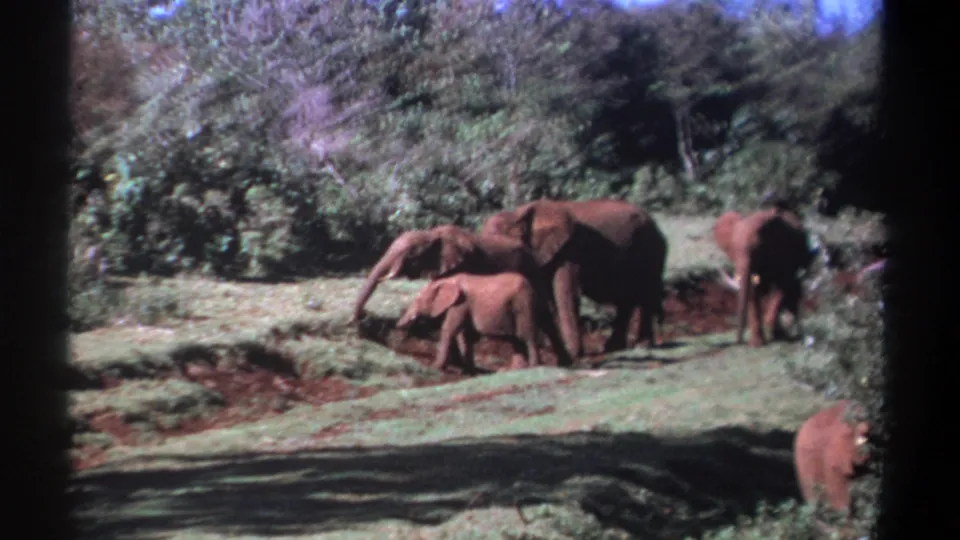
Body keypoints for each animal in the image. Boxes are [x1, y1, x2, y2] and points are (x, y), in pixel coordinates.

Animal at [395, 272, 573, 372]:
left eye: (418, 300)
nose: (398, 326)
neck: (447, 280)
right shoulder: (463, 305)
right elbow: (464, 335)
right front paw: (468, 371)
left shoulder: (460, 303)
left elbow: (450, 329)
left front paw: (436, 368)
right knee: (532, 332)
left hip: (523, 303)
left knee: (526, 335)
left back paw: (533, 366)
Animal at [480, 199, 668, 359]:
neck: (517, 215)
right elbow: (549, 299)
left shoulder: (570, 251)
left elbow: (566, 293)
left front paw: (572, 353)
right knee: (627, 301)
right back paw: (615, 347)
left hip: (651, 249)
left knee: (645, 295)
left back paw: (642, 345)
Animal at [713, 206, 815, 347]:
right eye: (733, 251)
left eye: (756, 249)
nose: (738, 342)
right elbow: (753, 292)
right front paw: (756, 344)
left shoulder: (784, 252)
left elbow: (782, 285)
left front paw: (772, 329)